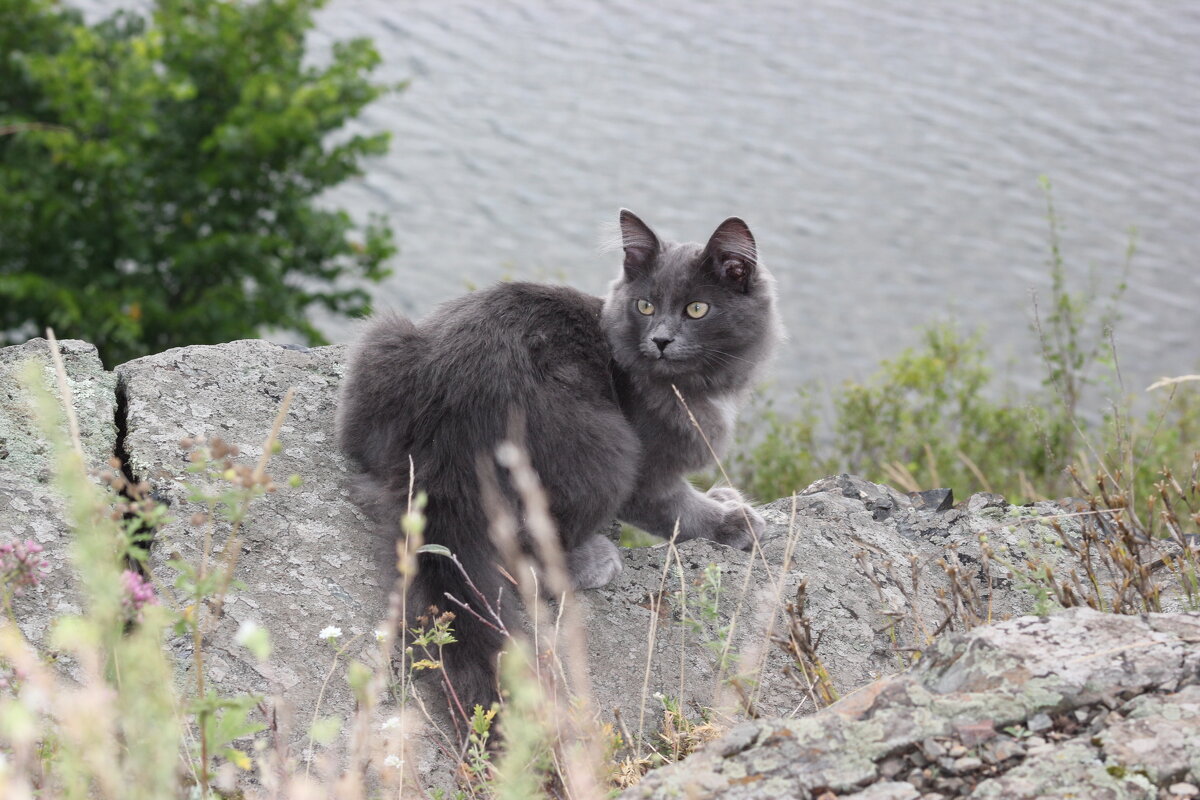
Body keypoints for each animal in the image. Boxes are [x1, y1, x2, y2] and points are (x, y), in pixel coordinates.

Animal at [338, 211, 782, 714]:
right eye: (646, 306)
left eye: (696, 310)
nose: (661, 341)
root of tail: (444, 449)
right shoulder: (651, 470)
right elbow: (679, 512)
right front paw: (733, 520)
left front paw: (726, 496)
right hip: (608, 447)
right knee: (528, 559)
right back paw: (595, 559)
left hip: (382, 344)